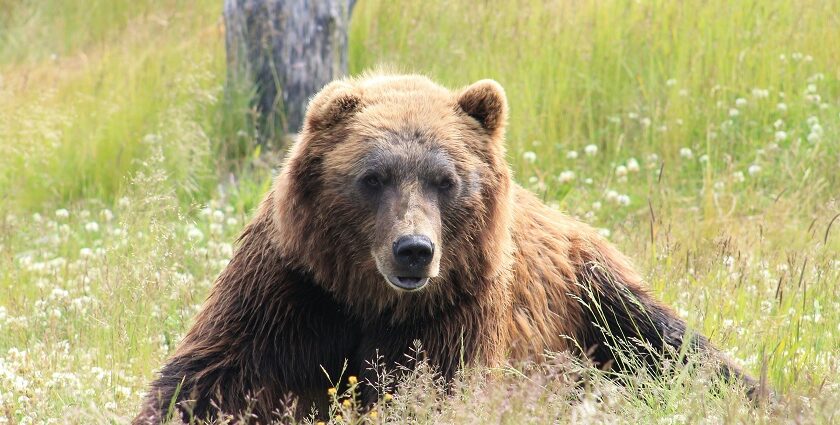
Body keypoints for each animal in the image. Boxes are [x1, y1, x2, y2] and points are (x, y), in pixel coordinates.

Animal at [135, 74, 756, 422]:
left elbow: (430, 389)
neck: (369, 299)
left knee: (674, 348)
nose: (414, 250)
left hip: (593, 296)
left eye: (446, 179)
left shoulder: (455, 309)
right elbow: (212, 377)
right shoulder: (293, 288)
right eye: (373, 177)